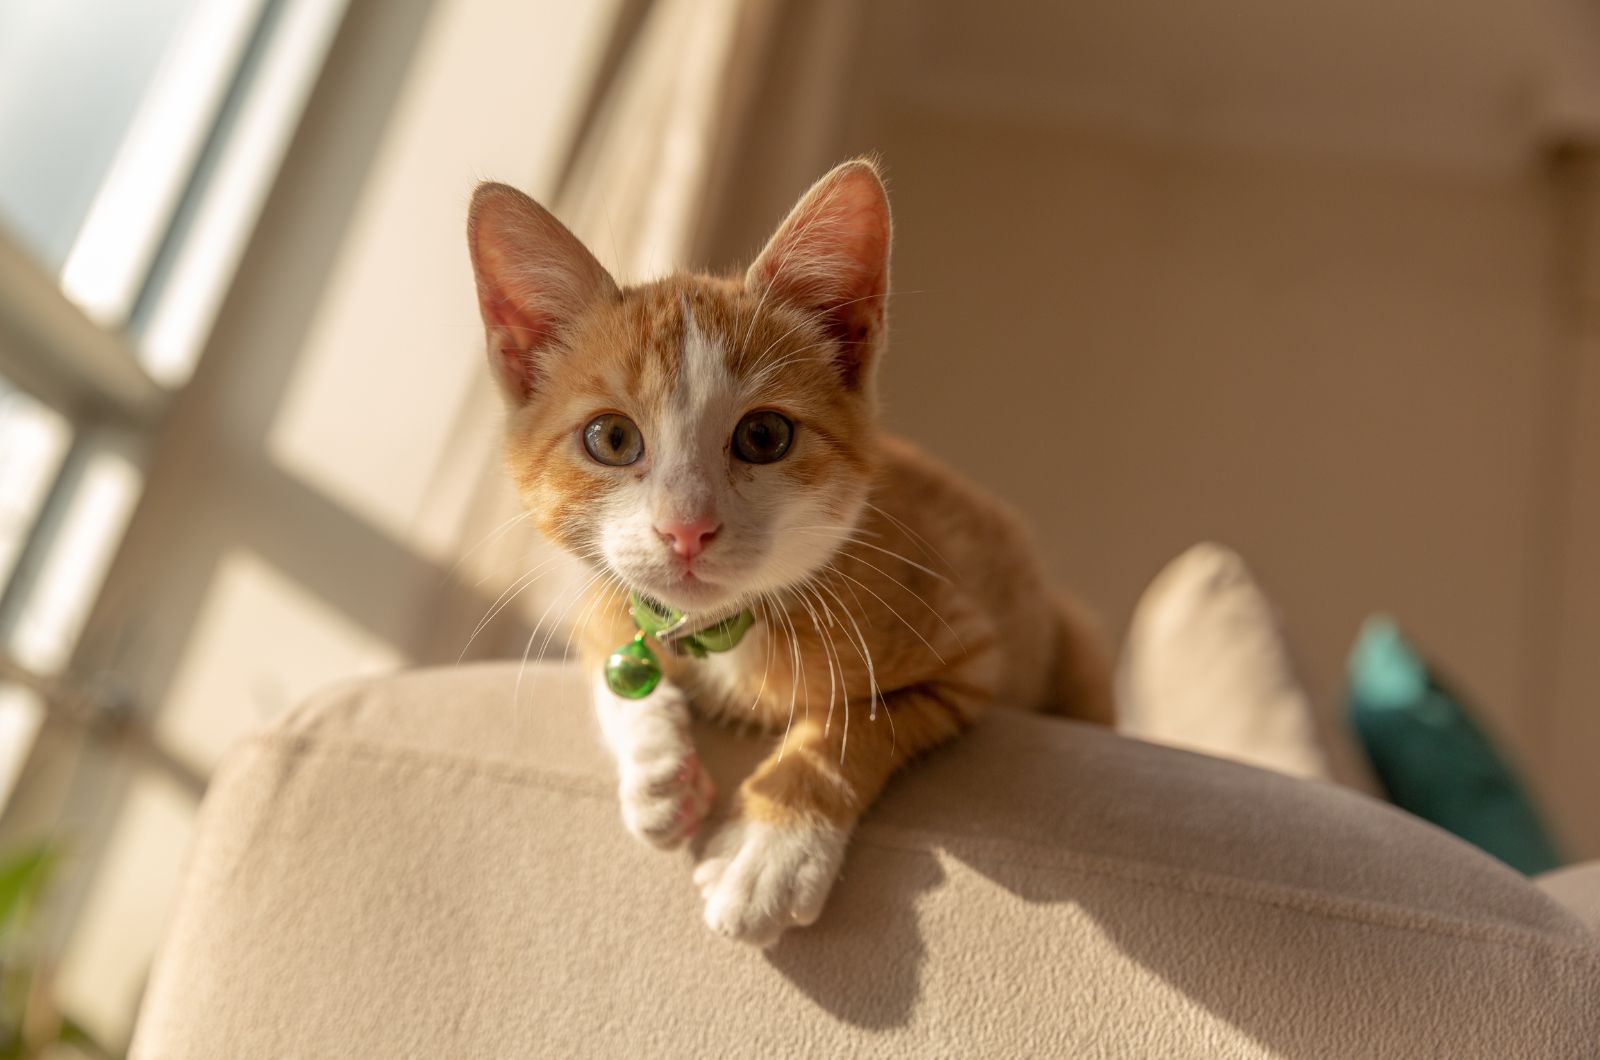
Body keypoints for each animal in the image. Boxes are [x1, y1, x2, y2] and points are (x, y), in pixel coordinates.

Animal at [464, 157, 1113, 947]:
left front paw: (772, 850)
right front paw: (656, 769)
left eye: (764, 436)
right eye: (611, 439)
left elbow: (852, 726)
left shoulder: (968, 649)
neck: (727, 634)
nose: (686, 529)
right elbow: (617, 653)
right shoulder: (601, 597)